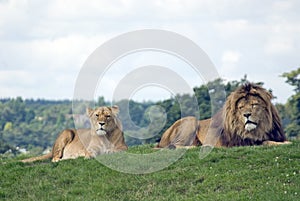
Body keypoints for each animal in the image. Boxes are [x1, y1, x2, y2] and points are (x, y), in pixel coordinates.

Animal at [157, 82, 290, 148]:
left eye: (254, 104)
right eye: (241, 107)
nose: (246, 115)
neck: (260, 129)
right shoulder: (241, 143)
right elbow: (265, 142)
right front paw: (285, 143)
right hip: (191, 120)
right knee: (173, 146)